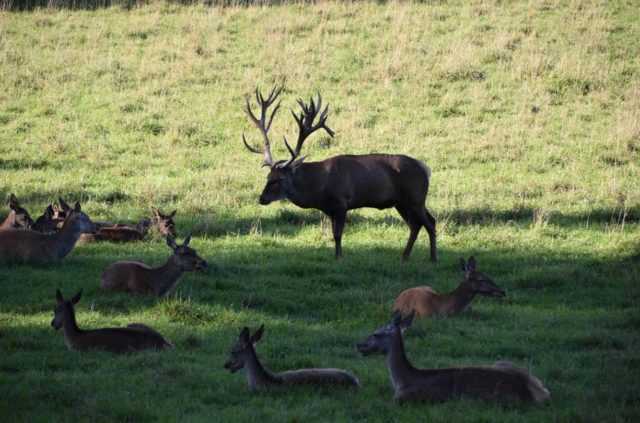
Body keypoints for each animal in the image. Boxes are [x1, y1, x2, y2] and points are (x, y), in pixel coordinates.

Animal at [242, 85, 438, 262]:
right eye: (268, 177)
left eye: (280, 179)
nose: (262, 198)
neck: (318, 189)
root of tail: (425, 169)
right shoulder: (329, 209)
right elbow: (332, 232)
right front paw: (337, 256)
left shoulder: (342, 201)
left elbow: (337, 233)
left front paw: (339, 258)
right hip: (401, 202)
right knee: (415, 225)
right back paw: (404, 257)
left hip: (415, 198)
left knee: (430, 222)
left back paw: (433, 259)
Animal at [356, 312, 552, 404]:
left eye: (375, 334)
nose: (359, 345)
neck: (402, 380)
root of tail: (540, 392)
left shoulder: (404, 399)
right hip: (502, 362)